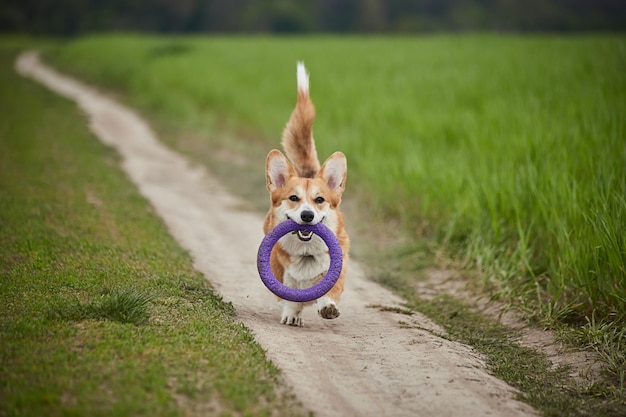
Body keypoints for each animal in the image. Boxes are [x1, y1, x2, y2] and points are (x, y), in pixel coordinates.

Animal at [264, 61, 348, 324]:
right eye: (294, 198)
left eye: (319, 200)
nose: (308, 215)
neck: (306, 255)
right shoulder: (282, 275)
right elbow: (291, 296)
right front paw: (292, 314)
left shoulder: (338, 268)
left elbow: (331, 289)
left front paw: (328, 307)